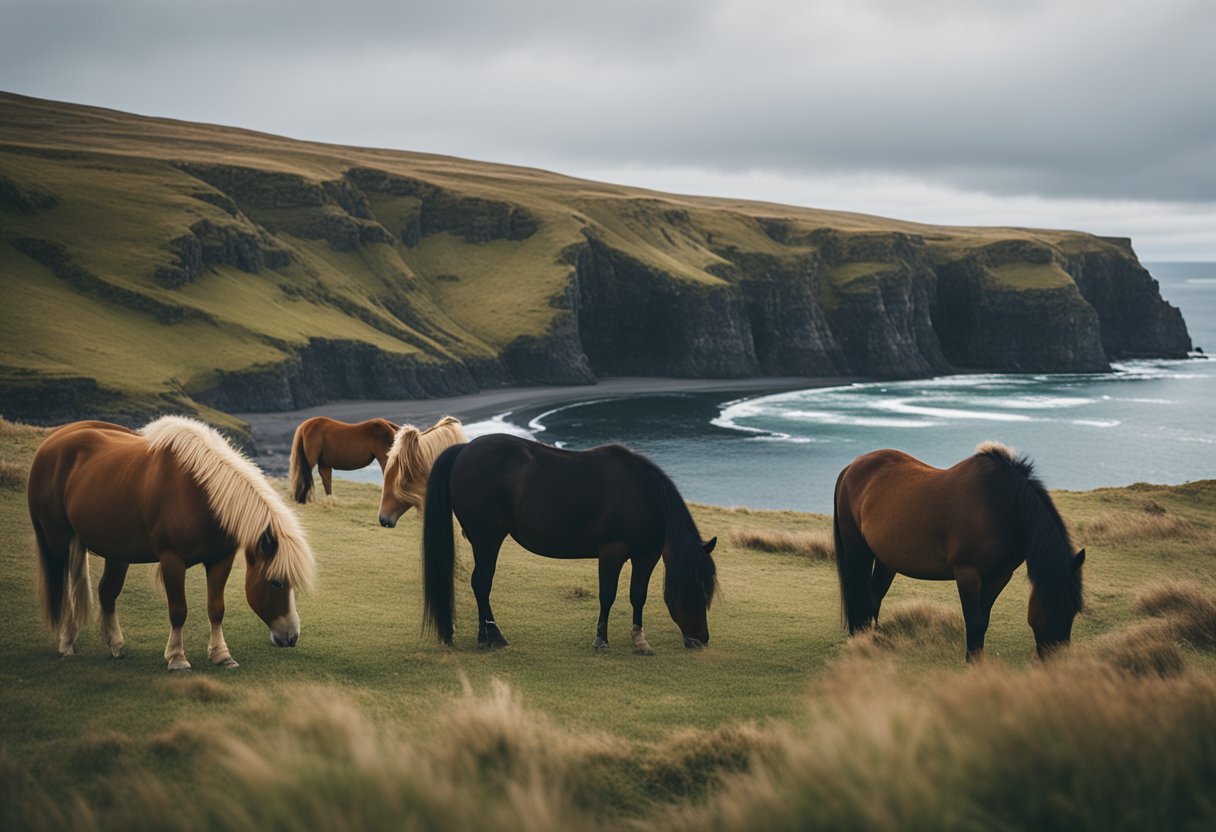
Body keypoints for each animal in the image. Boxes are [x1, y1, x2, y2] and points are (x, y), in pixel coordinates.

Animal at [28, 416, 316, 671]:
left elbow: (216, 609)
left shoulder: (220, 560)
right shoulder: (172, 560)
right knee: (67, 593)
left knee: (106, 593)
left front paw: (222, 655)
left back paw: (116, 646)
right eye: (276, 582)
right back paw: (67, 644)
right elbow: (178, 610)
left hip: (116, 552)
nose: (292, 637)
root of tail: (52, 442)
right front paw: (177, 658)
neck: (200, 494)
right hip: (59, 543)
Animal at [423, 433, 715, 651]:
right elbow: (607, 595)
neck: (643, 495)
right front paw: (601, 640)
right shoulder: (612, 552)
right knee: (482, 583)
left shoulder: (647, 554)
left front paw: (639, 640)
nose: (701, 639)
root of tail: (464, 449)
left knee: (479, 584)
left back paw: (483, 636)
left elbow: (637, 595)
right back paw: (495, 637)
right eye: (698, 586)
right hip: (487, 539)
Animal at [836, 442, 1084, 661]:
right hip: (859, 551)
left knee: (873, 596)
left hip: (886, 560)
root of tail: (850, 468)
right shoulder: (967, 573)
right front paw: (972, 662)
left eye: (1073, 610)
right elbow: (974, 620)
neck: (1000, 506)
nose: (1056, 659)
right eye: (1053, 607)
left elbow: (984, 619)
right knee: (860, 593)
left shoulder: (1000, 576)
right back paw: (861, 642)